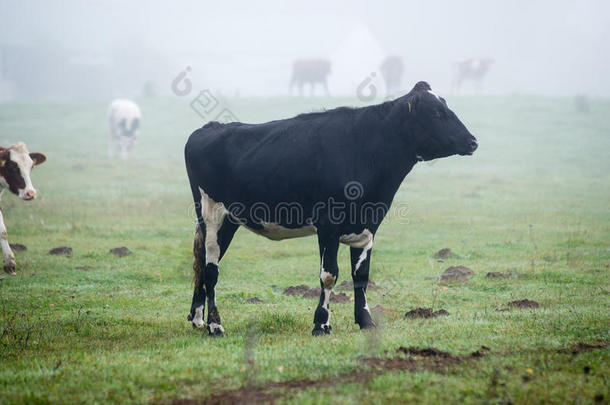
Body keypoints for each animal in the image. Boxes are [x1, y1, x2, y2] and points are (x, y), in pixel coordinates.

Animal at [183, 81, 478, 334]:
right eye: (436, 112)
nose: (473, 141)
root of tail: (208, 128)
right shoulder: (328, 225)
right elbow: (329, 275)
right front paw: (321, 324)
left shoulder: (368, 227)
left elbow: (361, 275)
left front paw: (366, 321)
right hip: (212, 214)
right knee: (211, 270)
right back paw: (215, 326)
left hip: (228, 221)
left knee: (204, 264)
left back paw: (197, 318)